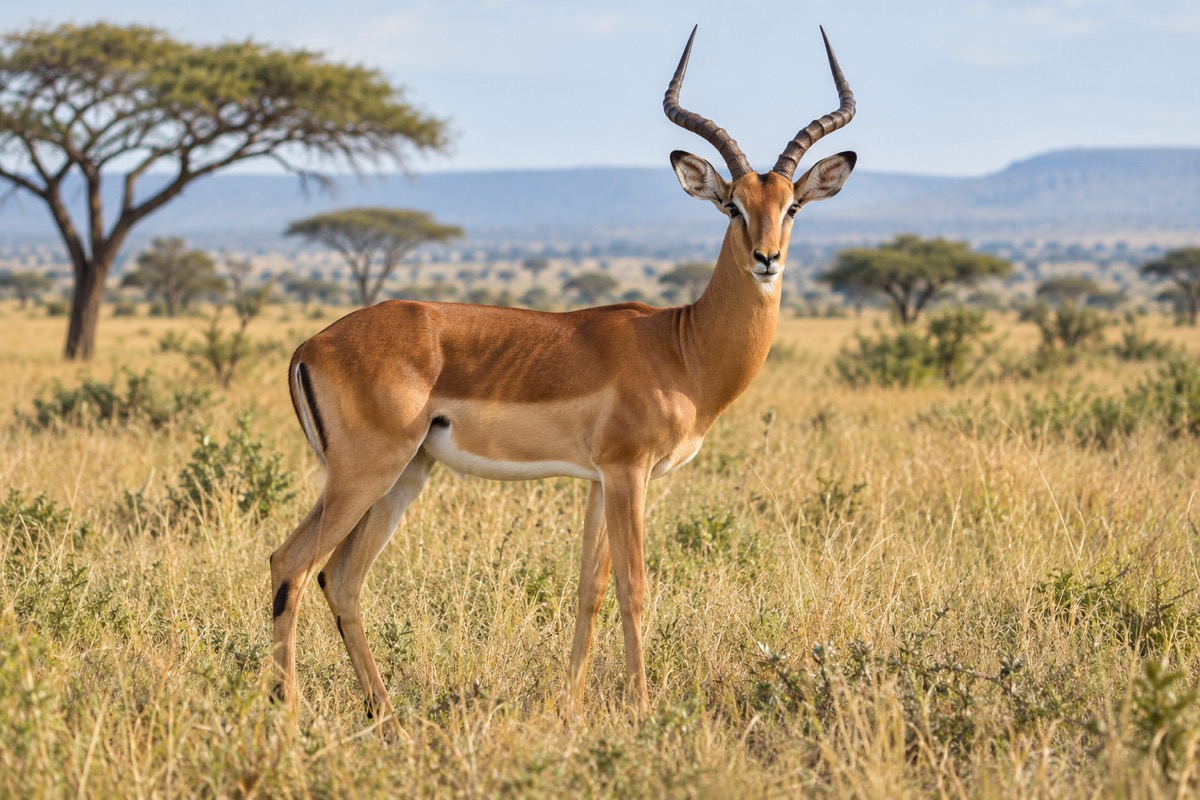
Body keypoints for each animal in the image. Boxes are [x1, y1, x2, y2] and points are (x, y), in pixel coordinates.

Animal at [270, 25, 856, 731]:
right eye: (732, 206)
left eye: (792, 206)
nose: (767, 259)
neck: (680, 347)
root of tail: (311, 344)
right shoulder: (629, 473)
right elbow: (635, 587)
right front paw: (641, 708)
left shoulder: (599, 481)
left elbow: (589, 588)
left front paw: (570, 707)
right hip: (364, 473)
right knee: (291, 564)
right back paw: (289, 714)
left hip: (405, 475)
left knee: (341, 578)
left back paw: (385, 713)